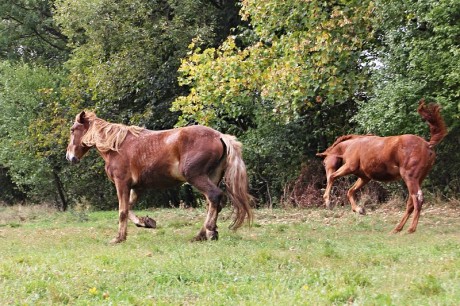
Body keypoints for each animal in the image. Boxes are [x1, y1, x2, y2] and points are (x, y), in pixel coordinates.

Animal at [65, 111, 253, 243]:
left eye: (73, 130)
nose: (69, 157)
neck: (116, 146)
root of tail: (220, 136)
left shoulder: (122, 183)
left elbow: (122, 211)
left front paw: (119, 238)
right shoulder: (137, 188)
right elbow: (130, 208)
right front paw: (145, 222)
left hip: (196, 177)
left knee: (214, 197)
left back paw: (209, 232)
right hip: (211, 177)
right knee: (213, 204)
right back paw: (203, 234)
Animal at [318, 99, 448, 233]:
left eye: (324, 162)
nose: (325, 173)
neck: (350, 146)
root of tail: (427, 144)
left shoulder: (350, 167)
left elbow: (333, 177)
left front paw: (328, 201)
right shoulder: (365, 178)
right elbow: (350, 191)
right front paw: (359, 210)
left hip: (409, 178)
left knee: (417, 199)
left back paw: (410, 229)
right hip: (418, 179)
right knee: (411, 203)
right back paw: (398, 229)